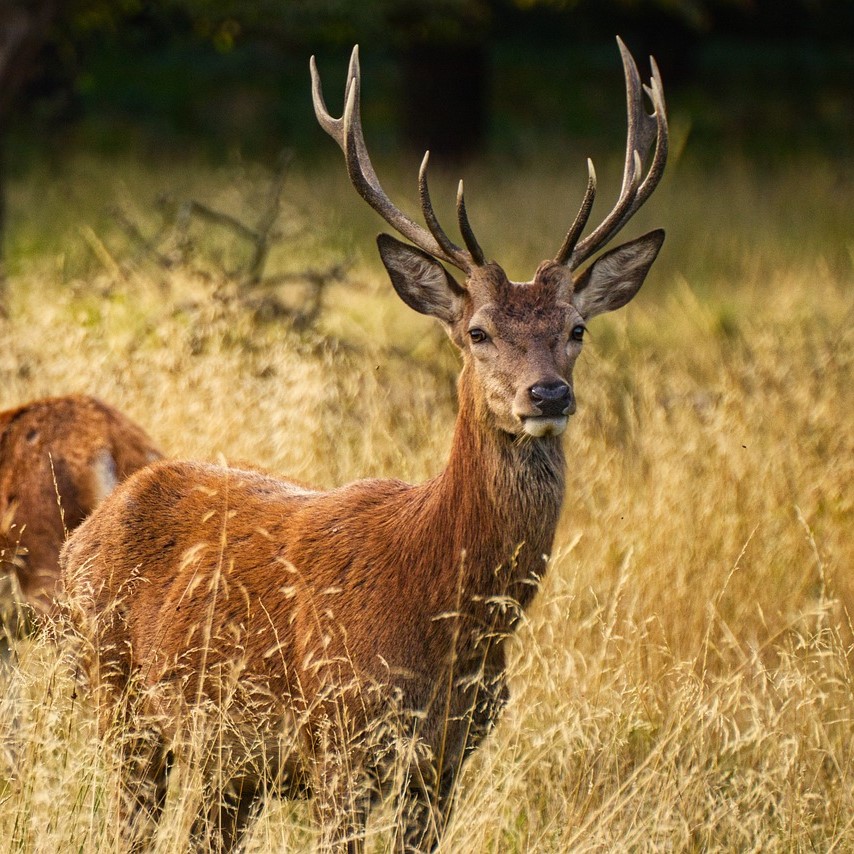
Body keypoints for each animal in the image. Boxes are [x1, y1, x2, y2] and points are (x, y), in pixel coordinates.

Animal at [60, 37, 667, 853]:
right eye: (478, 332)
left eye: (577, 329)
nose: (547, 395)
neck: (445, 619)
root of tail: (86, 532)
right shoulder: (340, 740)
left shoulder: (448, 758)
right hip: (117, 699)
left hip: (226, 763)